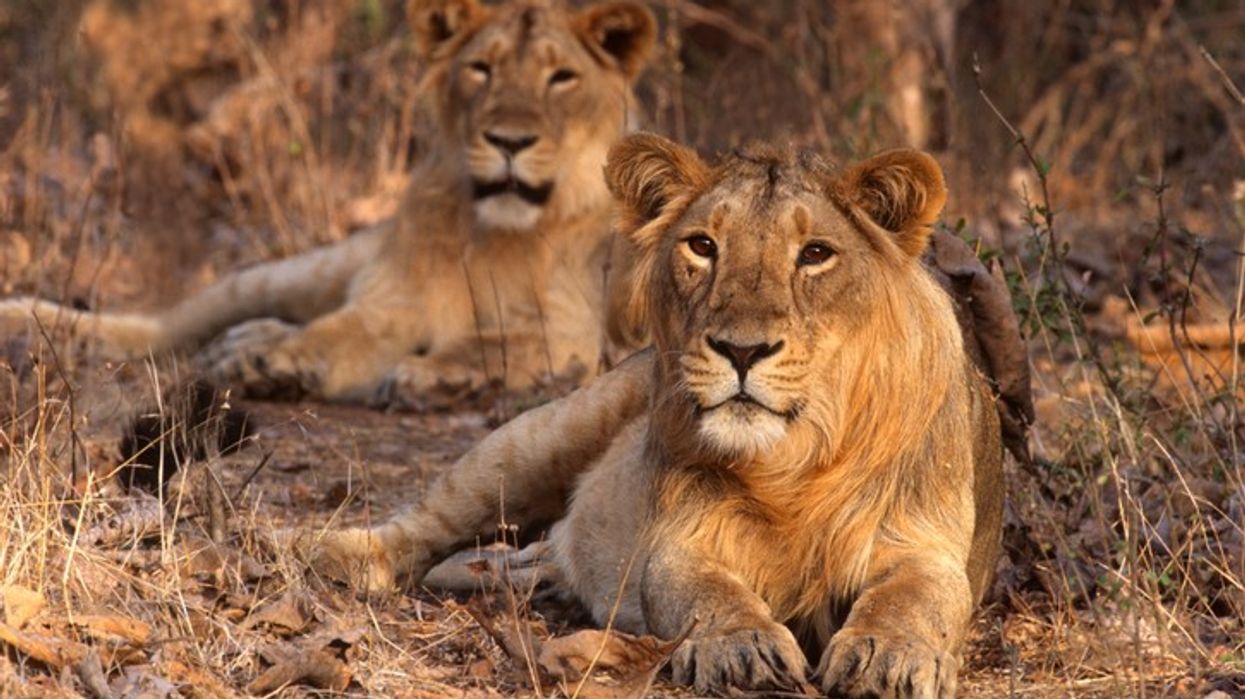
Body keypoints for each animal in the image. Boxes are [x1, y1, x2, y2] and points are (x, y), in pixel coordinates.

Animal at [0, 0, 656, 404]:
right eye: (480, 69)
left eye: (561, 78)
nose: (510, 142)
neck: (496, 233)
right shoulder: (390, 303)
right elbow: (334, 333)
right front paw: (275, 364)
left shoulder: (575, 331)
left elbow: (495, 343)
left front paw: (428, 373)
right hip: (297, 272)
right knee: (166, 326)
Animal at [305, 133, 1009, 697]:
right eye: (702, 245)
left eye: (815, 253)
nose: (741, 350)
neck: (797, 462)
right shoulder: (680, 539)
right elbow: (703, 593)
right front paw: (740, 645)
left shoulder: (925, 543)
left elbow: (914, 599)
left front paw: (887, 655)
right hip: (539, 438)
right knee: (425, 525)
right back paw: (326, 551)